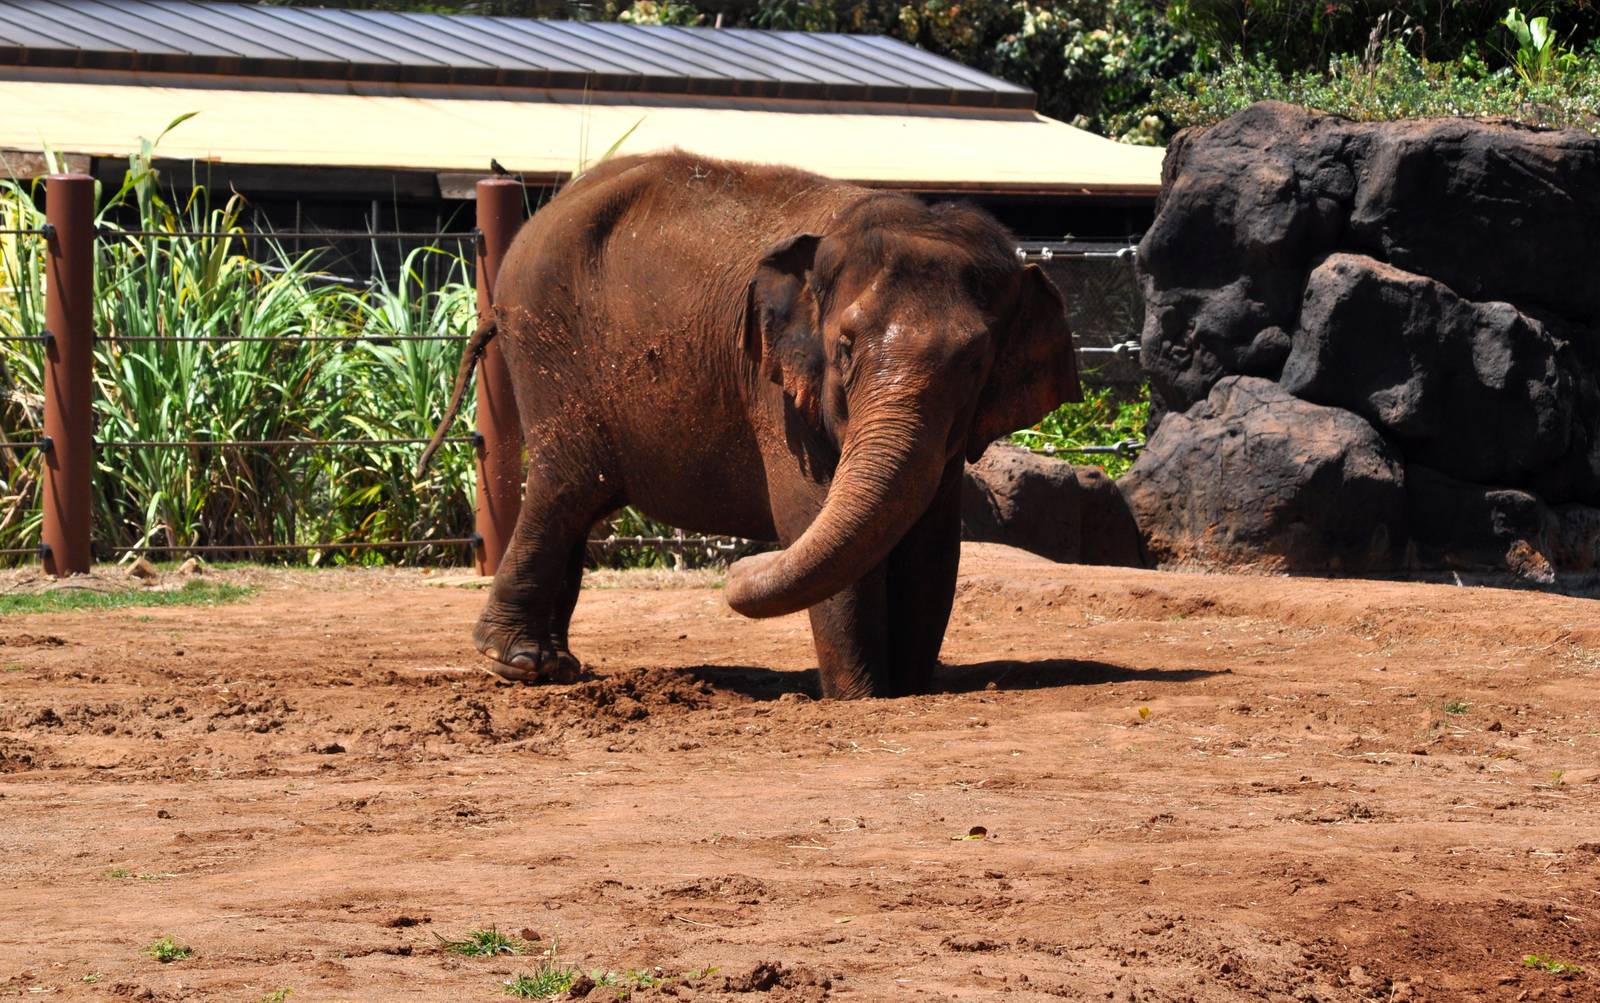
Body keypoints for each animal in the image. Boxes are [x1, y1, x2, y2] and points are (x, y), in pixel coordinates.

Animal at [422, 152, 1080, 699]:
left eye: (975, 361)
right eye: (844, 348)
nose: (734, 570)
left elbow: (932, 541)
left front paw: (911, 689)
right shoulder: (774, 390)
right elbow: (807, 512)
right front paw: (860, 698)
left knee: (581, 505)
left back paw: (554, 664)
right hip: (547, 350)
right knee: (563, 491)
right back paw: (522, 664)